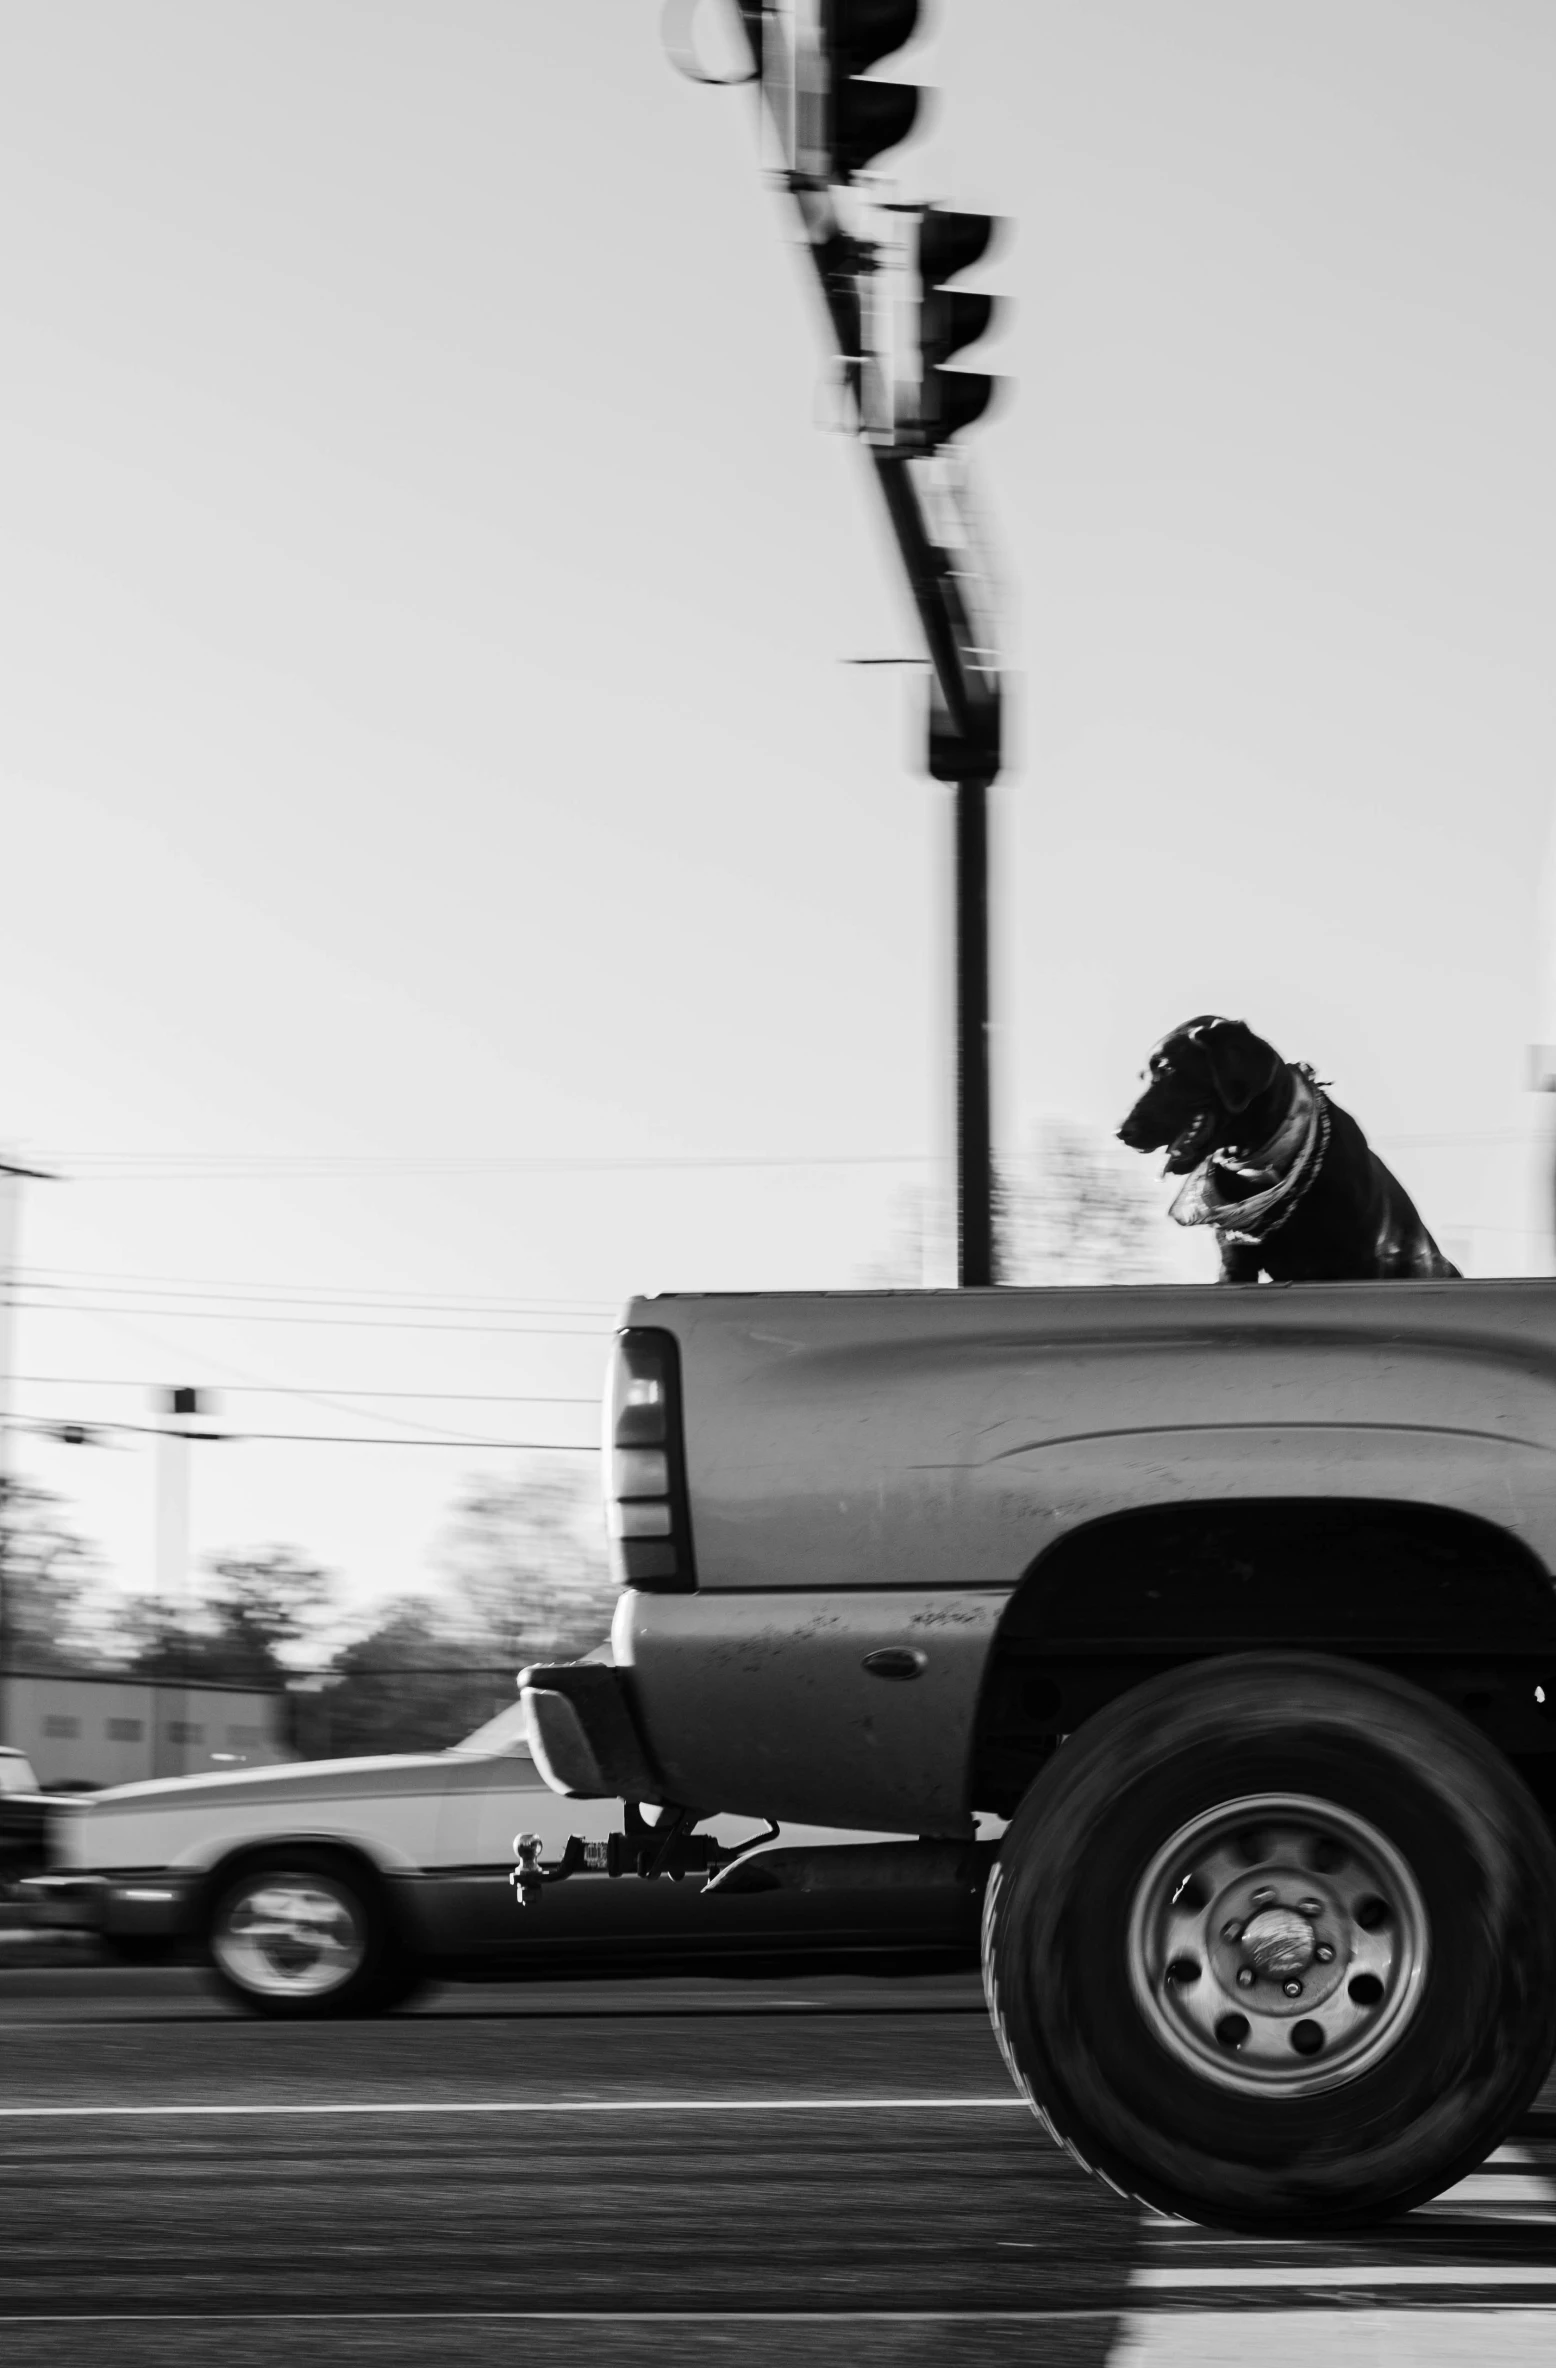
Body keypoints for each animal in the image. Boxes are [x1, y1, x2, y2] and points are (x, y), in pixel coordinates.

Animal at [1117, 1013, 1458, 1288]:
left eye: (1167, 1069)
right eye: (1144, 1076)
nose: (1121, 1132)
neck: (1260, 1168)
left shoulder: (1356, 1261)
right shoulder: (1235, 1264)